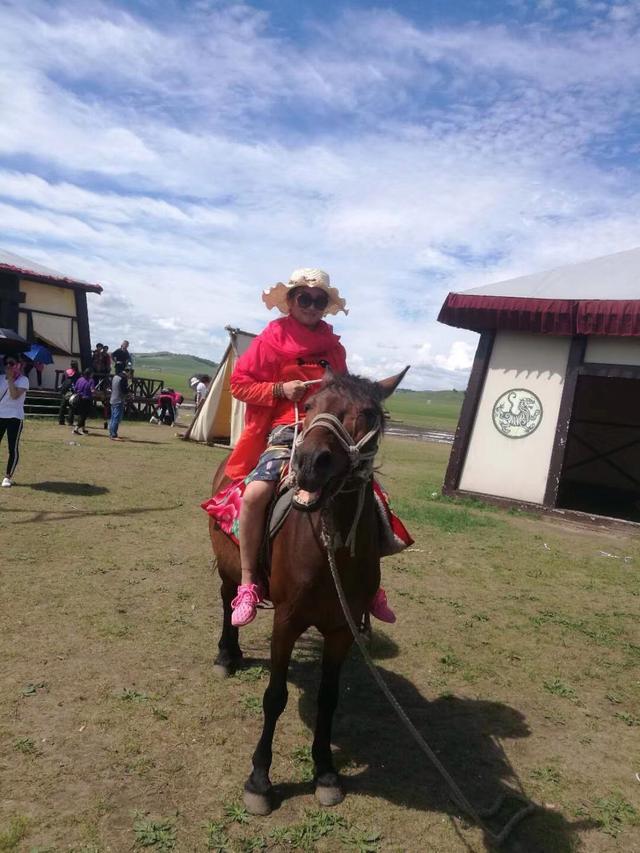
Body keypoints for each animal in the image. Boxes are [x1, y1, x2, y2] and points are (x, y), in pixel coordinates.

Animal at [210, 366, 410, 812]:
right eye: (310, 404)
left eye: (369, 413)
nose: (307, 462)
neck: (328, 547)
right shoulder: (286, 622)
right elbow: (275, 696)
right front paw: (259, 780)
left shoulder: (341, 630)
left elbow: (328, 698)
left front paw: (325, 771)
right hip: (228, 568)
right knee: (228, 602)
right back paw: (227, 653)